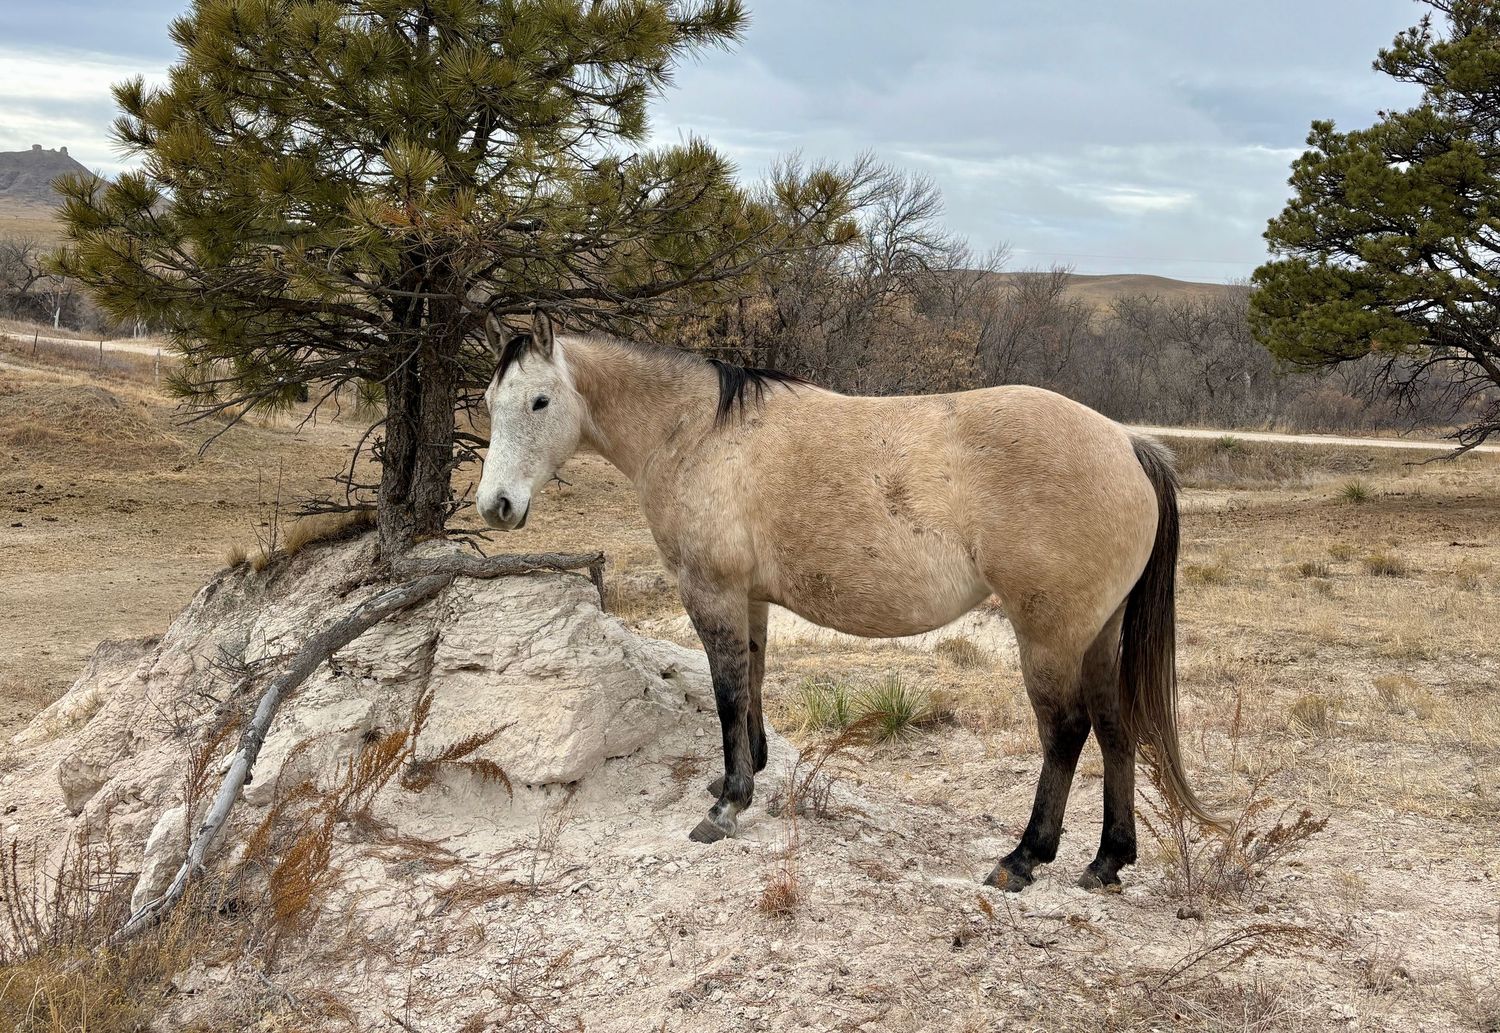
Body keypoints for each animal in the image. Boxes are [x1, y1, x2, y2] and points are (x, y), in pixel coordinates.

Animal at [475, 310, 1217, 891]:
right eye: (489, 402)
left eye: (539, 402)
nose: (495, 506)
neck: (700, 434)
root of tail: (1126, 441)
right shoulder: (749, 600)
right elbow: (751, 682)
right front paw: (740, 778)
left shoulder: (712, 591)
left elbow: (726, 691)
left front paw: (726, 808)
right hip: (1097, 634)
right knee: (1117, 728)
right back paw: (1107, 861)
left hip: (1048, 635)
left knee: (1066, 732)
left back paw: (1024, 858)